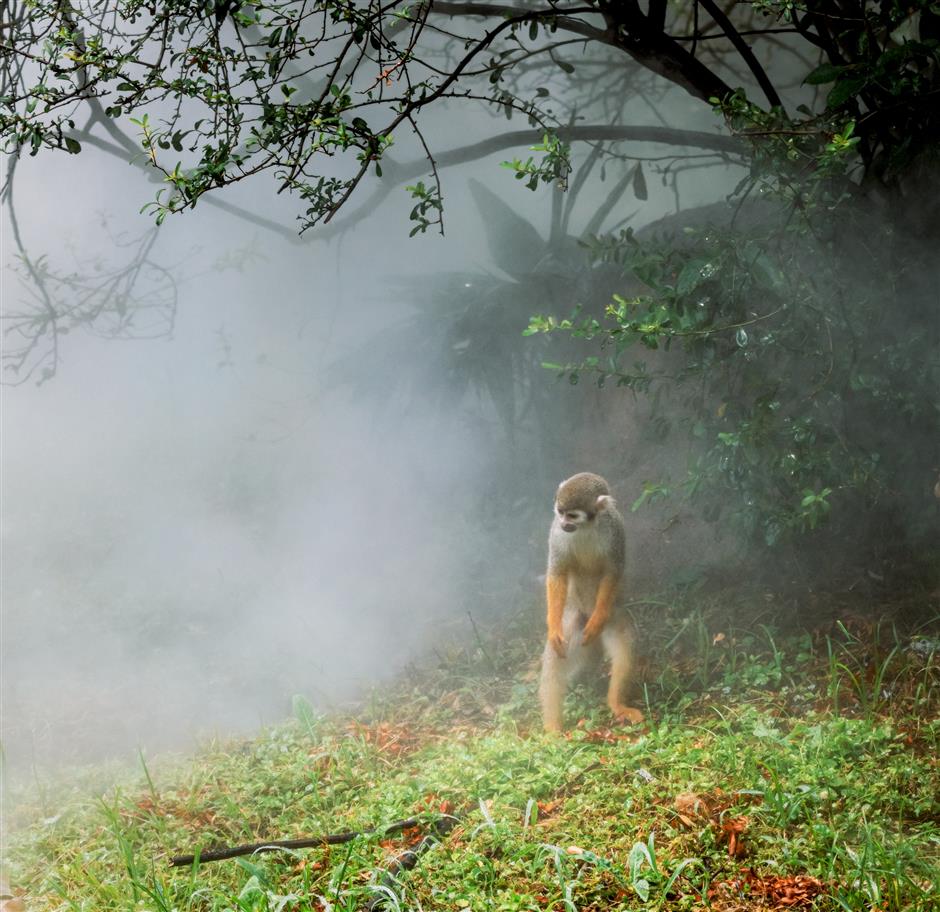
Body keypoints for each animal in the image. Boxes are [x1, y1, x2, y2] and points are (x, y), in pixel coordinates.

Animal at [536, 474, 648, 732]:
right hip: (573, 619)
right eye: (560, 512)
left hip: (611, 615)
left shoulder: (615, 527)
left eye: (572, 515)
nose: (564, 523)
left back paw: (617, 704)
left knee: (626, 647)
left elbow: (613, 570)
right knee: (555, 662)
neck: (585, 527)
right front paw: (552, 626)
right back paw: (552, 728)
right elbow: (557, 572)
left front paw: (597, 621)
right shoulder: (556, 533)